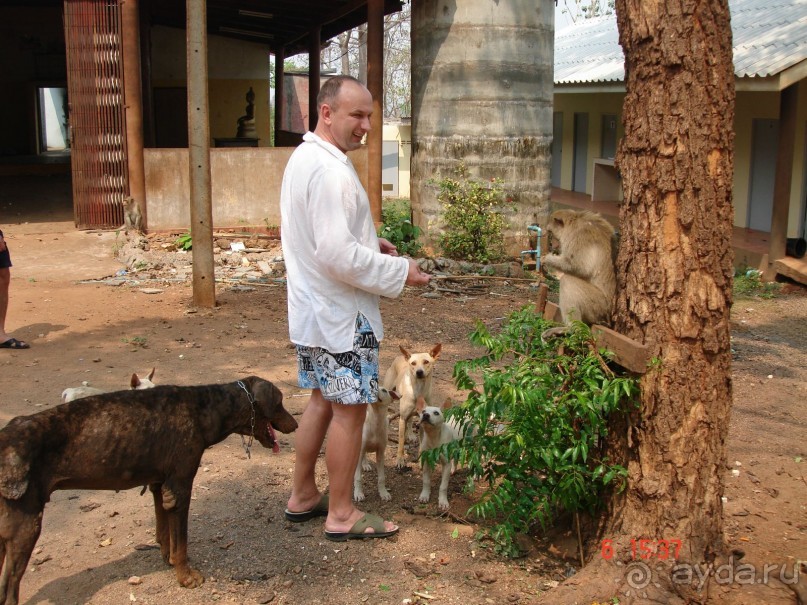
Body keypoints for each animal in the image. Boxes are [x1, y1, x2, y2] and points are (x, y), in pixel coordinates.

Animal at [0, 376, 298, 600]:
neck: (206, 408)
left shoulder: (159, 485)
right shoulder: (179, 487)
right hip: (25, 527)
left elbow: (164, 533)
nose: (296, 425)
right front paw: (186, 577)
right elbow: (181, 542)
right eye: (280, 402)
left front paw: (168, 560)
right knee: (8, 588)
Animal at [544, 208, 620, 340]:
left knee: (568, 281)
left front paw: (546, 259)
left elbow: (579, 266)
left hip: (599, 306)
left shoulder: (579, 236)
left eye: (551, 233)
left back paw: (571, 329)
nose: (552, 244)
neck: (575, 220)